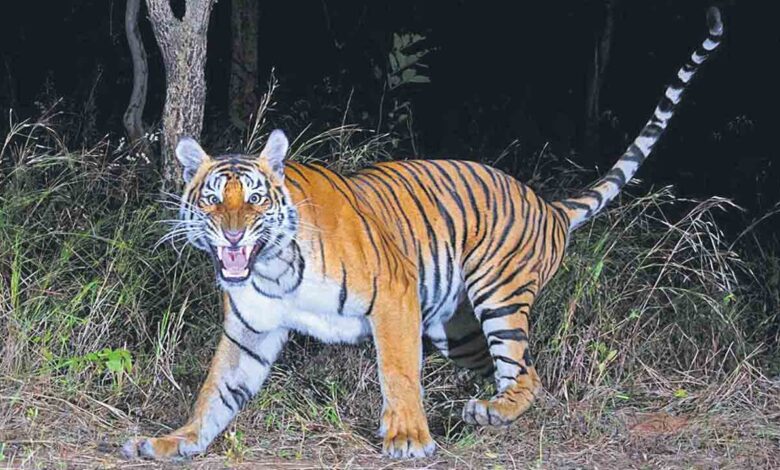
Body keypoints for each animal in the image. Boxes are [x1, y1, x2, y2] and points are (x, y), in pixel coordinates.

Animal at [122, 7, 723, 460]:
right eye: (211, 198)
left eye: (255, 198)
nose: (230, 235)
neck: (271, 269)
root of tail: (547, 204)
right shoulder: (251, 329)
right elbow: (215, 392)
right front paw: (175, 442)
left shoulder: (394, 295)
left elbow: (397, 370)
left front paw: (408, 437)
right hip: (455, 329)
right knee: (518, 369)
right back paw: (484, 411)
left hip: (499, 297)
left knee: (525, 373)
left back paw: (491, 411)